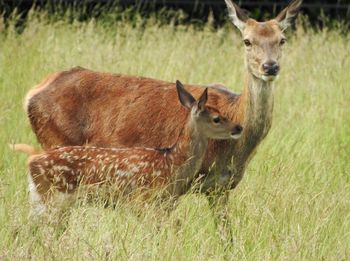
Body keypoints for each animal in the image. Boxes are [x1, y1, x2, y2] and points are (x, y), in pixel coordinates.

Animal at [24, 0, 302, 235]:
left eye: (282, 40)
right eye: (247, 41)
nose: (270, 67)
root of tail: (32, 93)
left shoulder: (221, 188)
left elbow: (227, 237)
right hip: (56, 147)